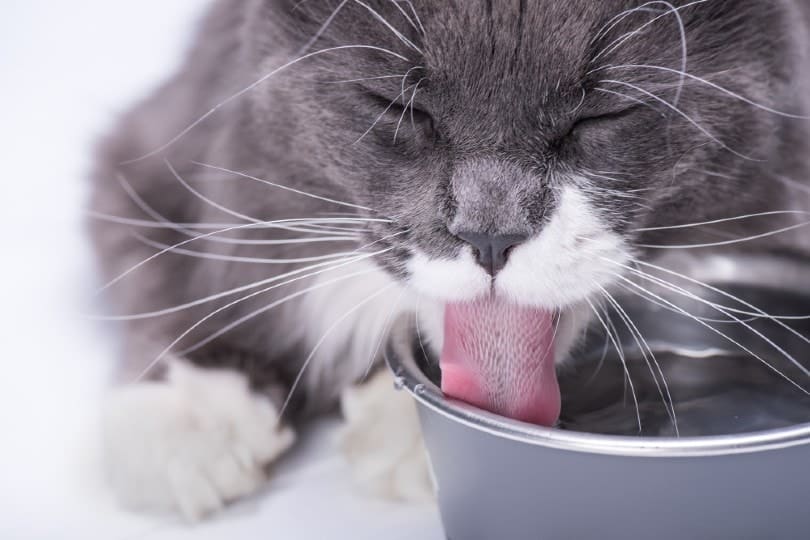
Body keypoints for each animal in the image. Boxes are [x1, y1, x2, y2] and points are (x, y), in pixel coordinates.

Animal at [88, 0, 808, 520]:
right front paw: (186, 419)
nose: (489, 236)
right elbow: (171, 274)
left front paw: (399, 439)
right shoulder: (145, 156)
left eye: (602, 116)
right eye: (402, 108)